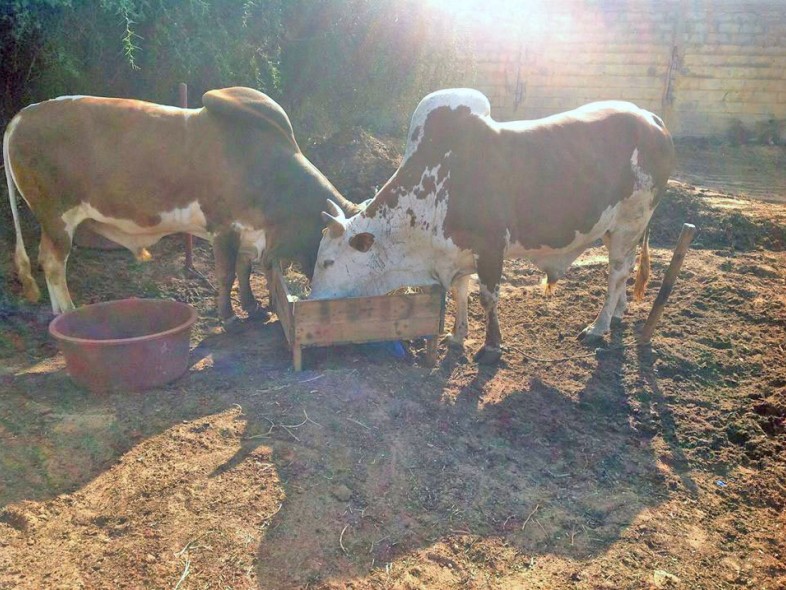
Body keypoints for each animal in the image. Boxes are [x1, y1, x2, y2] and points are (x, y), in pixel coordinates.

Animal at [2, 86, 358, 324]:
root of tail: (23, 114)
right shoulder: (224, 228)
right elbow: (227, 273)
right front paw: (228, 316)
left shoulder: (248, 231)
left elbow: (244, 270)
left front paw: (252, 306)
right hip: (56, 218)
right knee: (51, 262)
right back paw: (66, 310)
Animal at [310, 88, 672, 366]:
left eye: (328, 262)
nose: (313, 300)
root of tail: (651, 119)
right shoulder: (457, 253)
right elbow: (460, 292)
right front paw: (457, 336)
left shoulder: (490, 248)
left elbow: (488, 298)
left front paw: (491, 348)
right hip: (617, 231)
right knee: (624, 271)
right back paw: (618, 313)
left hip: (630, 223)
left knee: (616, 274)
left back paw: (598, 327)